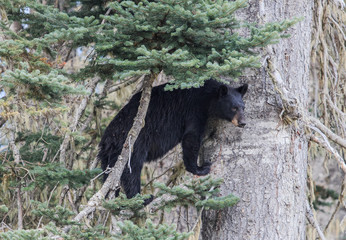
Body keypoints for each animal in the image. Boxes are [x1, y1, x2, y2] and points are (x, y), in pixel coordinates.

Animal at [98, 79, 247, 200]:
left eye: (243, 107)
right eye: (234, 107)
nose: (243, 122)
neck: (207, 95)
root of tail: (108, 139)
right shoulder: (194, 110)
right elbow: (191, 137)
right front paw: (201, 168)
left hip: (108, 157)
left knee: (109, 176)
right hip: (132, 144)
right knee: (132, 169)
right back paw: (141, 199)